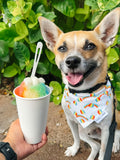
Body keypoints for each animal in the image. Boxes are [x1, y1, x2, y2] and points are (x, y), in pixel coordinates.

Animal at [38, 7, 120, 160]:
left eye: (90, 45)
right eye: (62, 48)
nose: (72, 61)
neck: (84, 92)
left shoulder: (106, 129)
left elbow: (104, 150)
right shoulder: (71, 121)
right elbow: (76, 138)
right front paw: (75, 149)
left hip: (115, 122)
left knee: (115, 134)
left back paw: (115, 145)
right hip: (84, 131)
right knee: (95, 145)